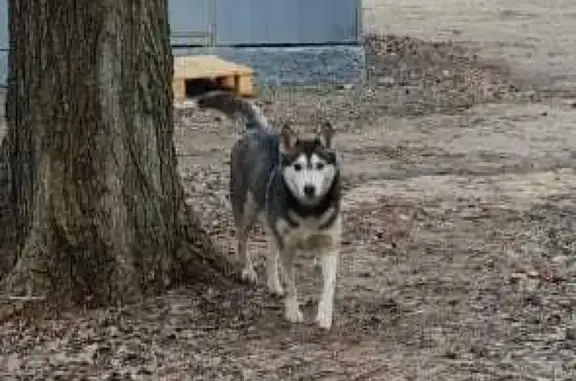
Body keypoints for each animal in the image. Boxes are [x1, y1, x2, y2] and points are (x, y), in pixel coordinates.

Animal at [198, 90, 342, 328]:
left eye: (320, 166)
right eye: (298, 166)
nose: (309, 188)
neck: (308, 210)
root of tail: (256, 129)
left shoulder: (329, 245)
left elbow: (329, 286)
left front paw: (324, 315)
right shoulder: (288, 247)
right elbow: (292, 285)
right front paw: (292, 311)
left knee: (270, 252)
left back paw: (274, 284)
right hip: (246, 210)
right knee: (242, 241)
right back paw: (248, 271)